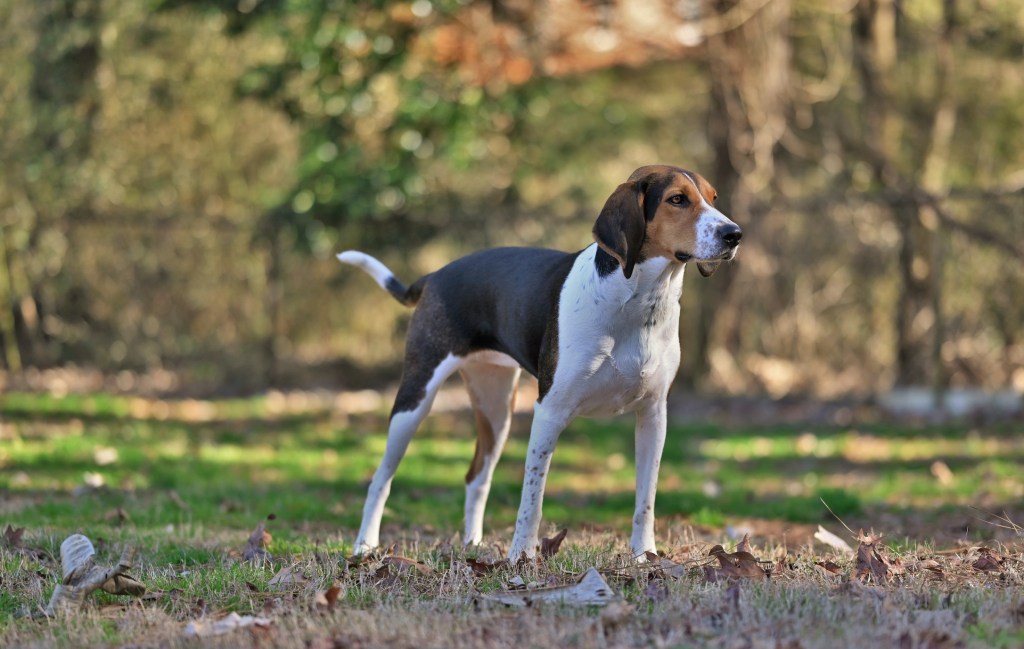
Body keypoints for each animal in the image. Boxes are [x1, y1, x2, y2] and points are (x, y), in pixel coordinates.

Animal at [339, 163, 741, 556]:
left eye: (713, 197)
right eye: (677, 199)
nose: (734, 234)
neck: (636, 299)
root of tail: (435, 275)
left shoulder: (654, 415)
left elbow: (646, 499)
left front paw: (644, 556)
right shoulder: (550, 411)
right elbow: (532, 498)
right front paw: (522, 556)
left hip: (496, 409)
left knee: (476, 477)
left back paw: (473, 544)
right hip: (414, 401)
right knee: (381, 479)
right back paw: (365, 545)